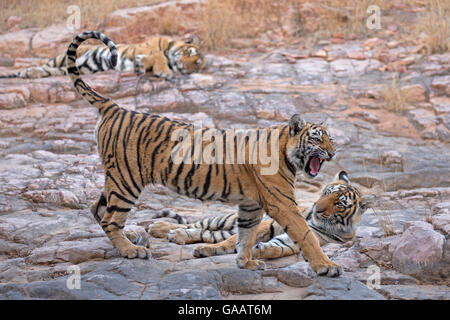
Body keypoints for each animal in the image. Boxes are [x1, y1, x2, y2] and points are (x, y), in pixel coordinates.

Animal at [67, 30, 342, 278]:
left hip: (117, 177)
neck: (286, 150)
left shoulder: (251, 205)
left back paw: (128, 240)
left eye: (331, 138)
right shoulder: (283, 204)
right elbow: (305, 234)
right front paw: (326, 266)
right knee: (110, 219)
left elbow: (246, 235)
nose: (333, 152)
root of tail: (115, 107)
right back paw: (131, 250)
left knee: (97, 209)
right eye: (316, 138)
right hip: (127, 179)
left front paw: (246, 263)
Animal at [149, 171, 374, 258]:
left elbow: (277, 248)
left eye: (338, 204)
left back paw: (178, 237)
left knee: (204, 233)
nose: (317, 208)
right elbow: (231, 242)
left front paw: (259, 251)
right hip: (225, 219)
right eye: (327, 192)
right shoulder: (267, 224)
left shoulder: (299, 240)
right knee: (194, 225)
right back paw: (159, 228)